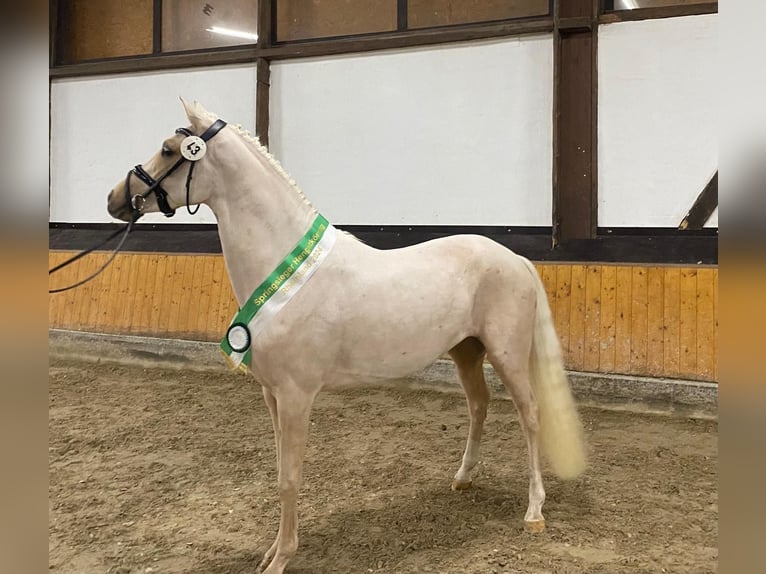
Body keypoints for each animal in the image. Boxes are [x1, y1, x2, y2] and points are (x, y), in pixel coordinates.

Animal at [108, 100, 584, 574]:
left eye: (169, 150)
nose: (115, 199)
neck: (284, 269)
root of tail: (515, 258)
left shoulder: (296, 395)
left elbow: (290, 477)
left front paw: (282, 558)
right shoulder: (271, 394)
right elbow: (280, 471)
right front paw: (269, 555)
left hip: (507, 354)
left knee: (530, 415)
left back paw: (534, 512)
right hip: (466, 351)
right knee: (478, 405)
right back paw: (463, 478)